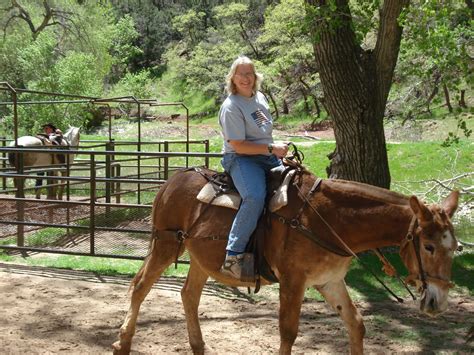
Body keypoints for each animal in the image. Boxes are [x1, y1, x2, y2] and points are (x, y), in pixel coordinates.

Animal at [111, 165, 460, 354]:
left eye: (455, 247)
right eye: (429, 246)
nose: (438, 302)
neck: (330, 219)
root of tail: (172, 180)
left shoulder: (330, 281)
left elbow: (356, 325)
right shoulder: (294, 282)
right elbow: (288, 332)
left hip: (200, 258)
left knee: (189, 296)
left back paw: (198, 347)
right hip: (166, 244)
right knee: (140, 287)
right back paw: (122, 343)